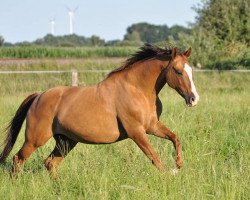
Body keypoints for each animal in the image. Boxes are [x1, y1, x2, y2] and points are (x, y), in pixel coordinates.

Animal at [0, 44, 199, 178]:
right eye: (178, 71)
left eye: (191, 70)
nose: (194, 99)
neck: (136, 89)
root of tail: (39, 96)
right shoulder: (137, 132)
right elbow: (154, 157)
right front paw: (168, 176)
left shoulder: (152, 126)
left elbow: (175, 138)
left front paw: (178, 166)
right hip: (35, 139)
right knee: (18, 159)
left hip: (66, 141)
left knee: (50, 163)